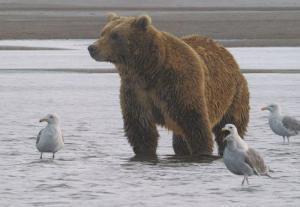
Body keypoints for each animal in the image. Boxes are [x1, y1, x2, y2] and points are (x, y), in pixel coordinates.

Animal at [88, 12, 250, 157]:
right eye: (102, 32)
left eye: (115, 35)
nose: (92, 47)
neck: (149, 69)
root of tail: (225, 51)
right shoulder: (135, 89)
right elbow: (140, 126)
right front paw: (144, 153)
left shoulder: (179, 85)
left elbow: (194, 123)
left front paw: (202, 152)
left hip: (234, 94)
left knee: (229, 125)